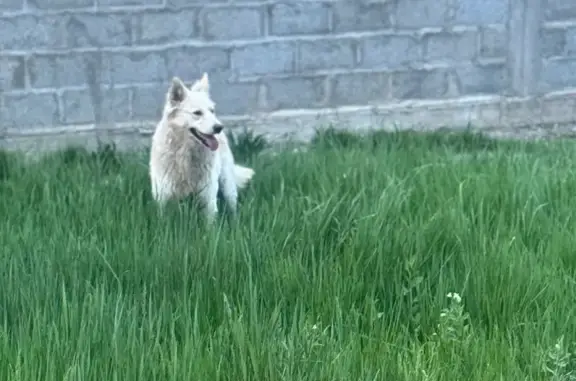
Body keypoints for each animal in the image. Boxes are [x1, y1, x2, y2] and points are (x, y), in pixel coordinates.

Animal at [150, 72, 255, 221]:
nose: (219, 127)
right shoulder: (163, 199)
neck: (185, 157)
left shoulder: (208, 199)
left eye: (212, 111)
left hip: (227, 185)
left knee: (233, 206)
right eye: (197, 113)